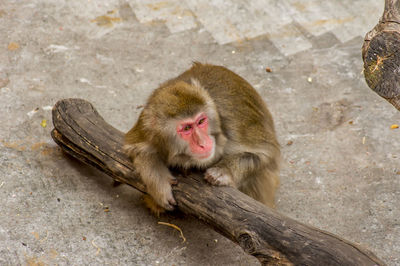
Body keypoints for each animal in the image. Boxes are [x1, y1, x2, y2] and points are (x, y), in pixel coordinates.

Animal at [123, 62, 280, 214]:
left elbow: (266, 154)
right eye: (187, 128)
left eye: (201, 121)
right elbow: (135, 149)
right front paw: (160, 185)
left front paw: (223, 171)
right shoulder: (147, 129)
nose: (203, 143)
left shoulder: (234, 125)